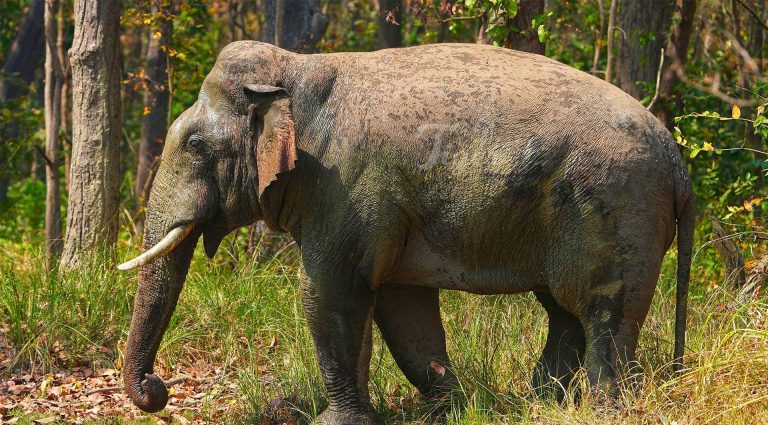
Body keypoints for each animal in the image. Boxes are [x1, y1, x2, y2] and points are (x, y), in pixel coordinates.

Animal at [118, 41, 694, 424]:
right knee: (563, 311)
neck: (298, 68)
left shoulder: (345, 186)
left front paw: (336, 422)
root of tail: (675, 157)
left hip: (617, 210)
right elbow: (401, 305)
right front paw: (451, 405)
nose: (157, 389)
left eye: (195, 145)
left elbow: (327, 292)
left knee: (602, 312)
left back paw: (600, 408)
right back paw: (540, 400)